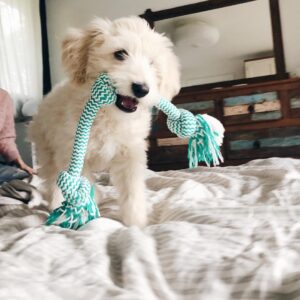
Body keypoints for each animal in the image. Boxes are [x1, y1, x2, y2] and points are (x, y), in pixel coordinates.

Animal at [29, 16, 180, 226]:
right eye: (120, 54)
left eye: (152, 63)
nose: (141, 89)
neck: (109, 115)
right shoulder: (72, 152)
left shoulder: (130, 154)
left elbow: (132, 191)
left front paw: (137, 223)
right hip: (47, 148)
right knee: (52, 178)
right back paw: (56, 202)